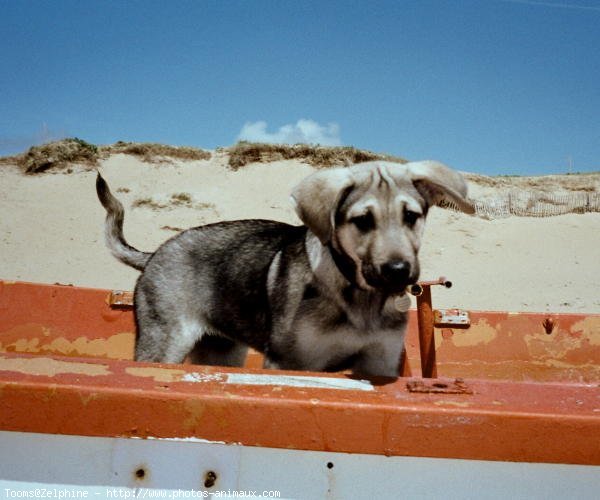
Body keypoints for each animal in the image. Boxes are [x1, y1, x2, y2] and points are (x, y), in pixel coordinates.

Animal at [97, 160, 474, 376]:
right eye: (363, 221)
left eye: (411, 216)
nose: (398, 270)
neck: (359, 297)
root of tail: (154, 252)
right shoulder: (289, 363)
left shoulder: (379, 360)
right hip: (162, 346)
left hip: (221, 353)